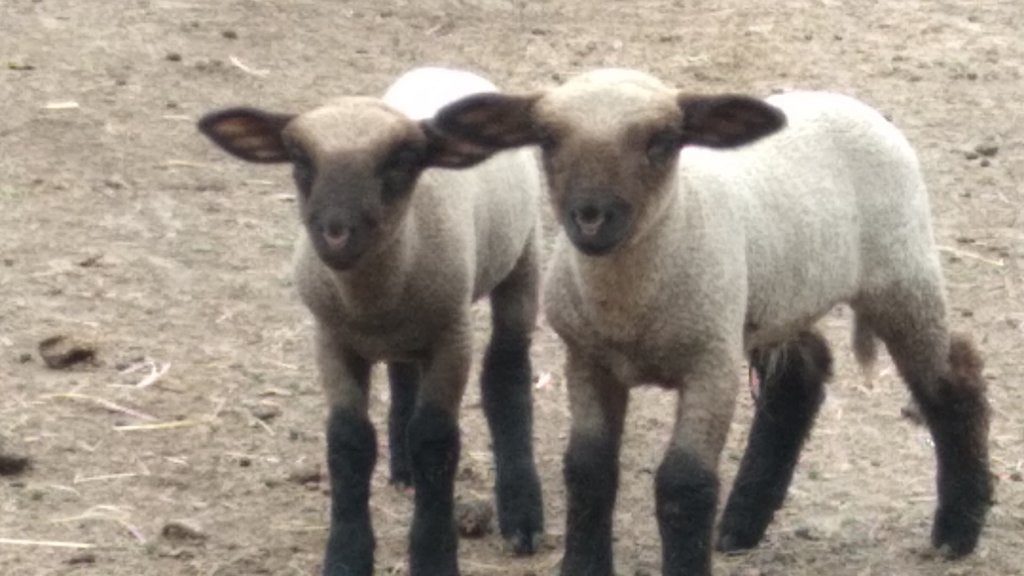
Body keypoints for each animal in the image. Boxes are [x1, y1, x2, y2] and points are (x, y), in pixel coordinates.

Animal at [196, 67, 545, 576]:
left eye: (404, 160)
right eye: (298, 159)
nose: (335, 233)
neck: (374, 300)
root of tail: (443, 67)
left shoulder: (451, 335)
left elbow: (436, 442)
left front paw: (433, 556)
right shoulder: (331, 338)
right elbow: (348, 443)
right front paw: (346, 556)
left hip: (522, 258)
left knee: (507, 374)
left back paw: (522, 515)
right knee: (404, 375)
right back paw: (403, 470)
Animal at [427, 68, 993, 576]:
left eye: (662, 141)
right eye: (546, 139)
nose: (590, 217)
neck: (631, 307)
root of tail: (848, 101)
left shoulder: (710, 362)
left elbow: (685, 485)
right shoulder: (588, 359)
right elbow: (587, 471)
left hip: (902, 273)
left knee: (950, 383)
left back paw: (957, 530)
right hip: (777, 297)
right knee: (799, 379)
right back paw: (741, 524)